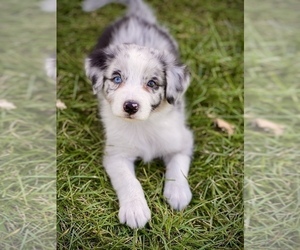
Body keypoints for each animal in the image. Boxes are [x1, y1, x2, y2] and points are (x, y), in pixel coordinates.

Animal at [83, 0, 193, 229]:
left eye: (152, 83)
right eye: (117, 78)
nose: (131, 106)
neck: (143, 124)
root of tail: (136, 16)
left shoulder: (182, 140)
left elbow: (178, 165)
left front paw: (178, 193)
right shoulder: (116, 154)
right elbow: (129, 180)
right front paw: (135, 210)